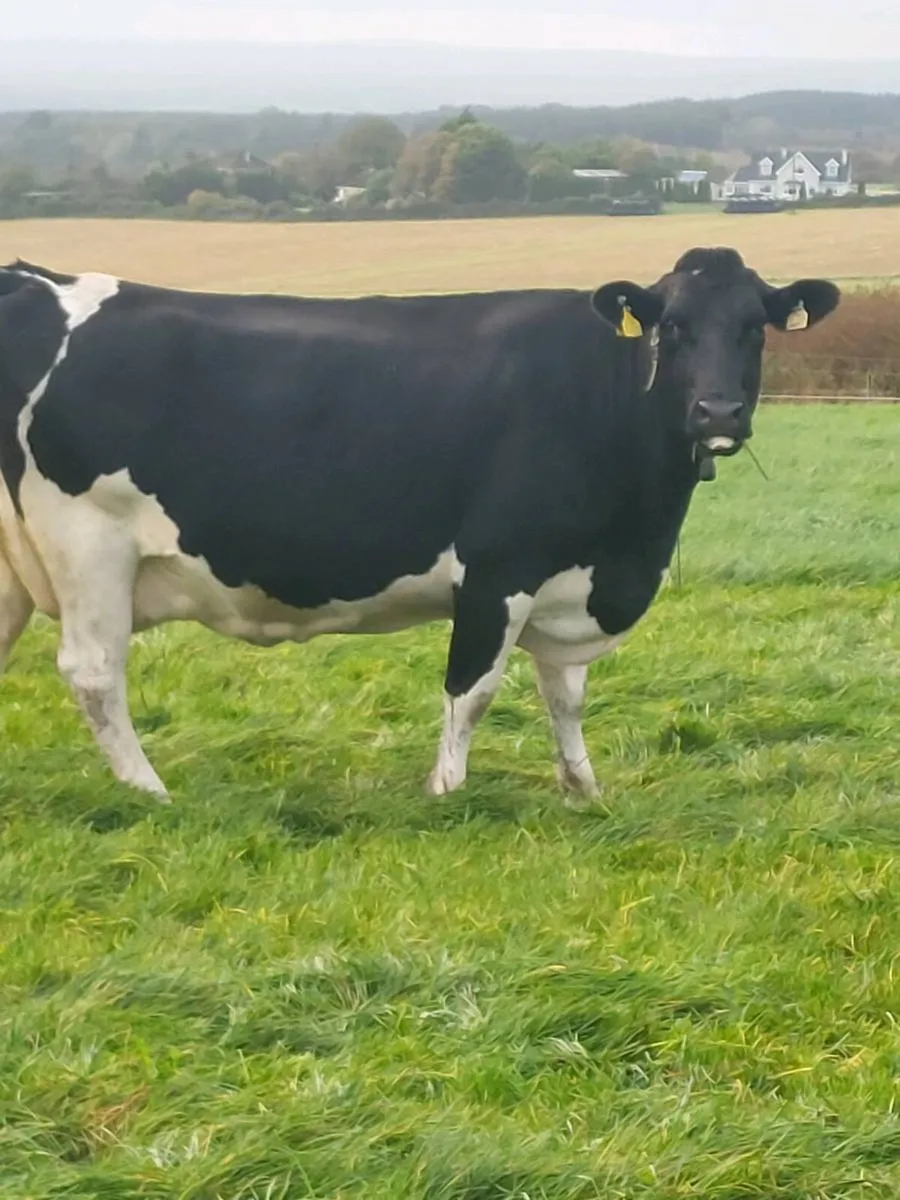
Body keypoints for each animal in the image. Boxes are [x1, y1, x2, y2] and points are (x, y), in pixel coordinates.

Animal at [0, 249, 839, 801]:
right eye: (672, 327)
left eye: (756, 328)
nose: (718, 412)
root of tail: (33, 278)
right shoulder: (500, 568)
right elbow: (473, 689)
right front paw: (446, 792)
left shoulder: (569, 575)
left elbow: (565, 693)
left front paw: (583, 791)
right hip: (90, 546)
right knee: (94, 672)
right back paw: (147, 789)